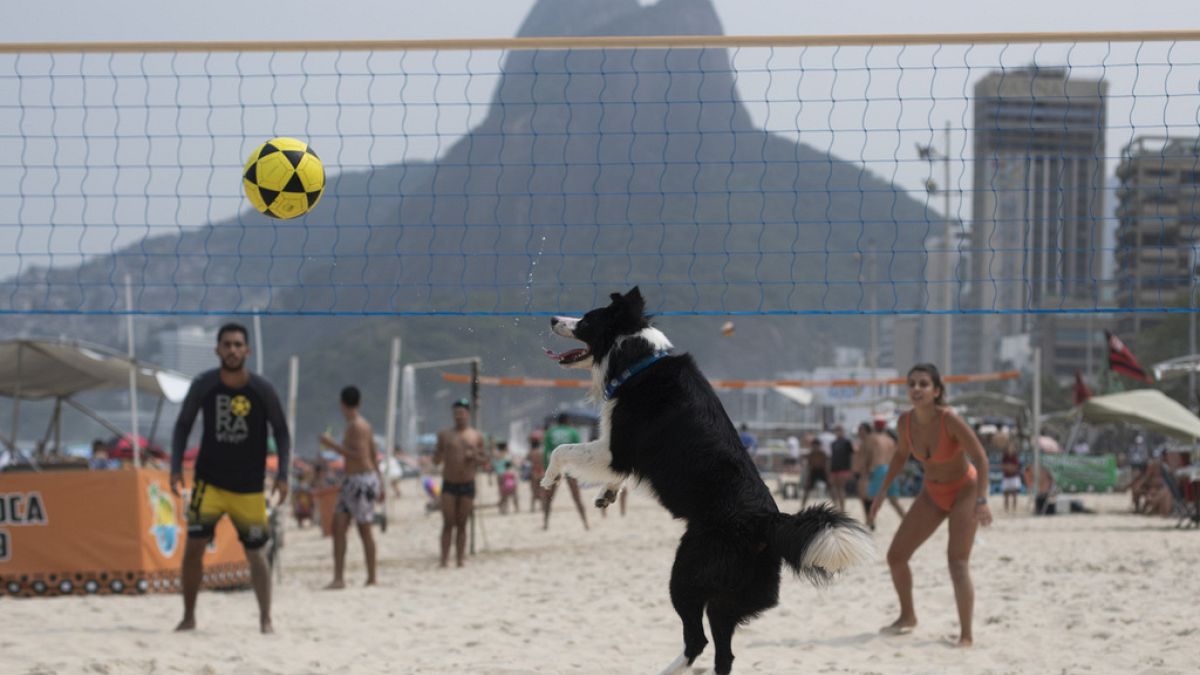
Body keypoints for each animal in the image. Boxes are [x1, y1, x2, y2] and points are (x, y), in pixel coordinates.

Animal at [544, 285, 873, 667]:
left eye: (586, 320)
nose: (552, 319)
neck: (638, 360)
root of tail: (768, 521)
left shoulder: (616, 448)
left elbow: (563, 450)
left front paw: (549, 478)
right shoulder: (621, 456)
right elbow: (613, 473)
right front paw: (606, 493)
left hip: (687, 574)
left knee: (696, 640)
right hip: (730, 597)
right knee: (723, 653)